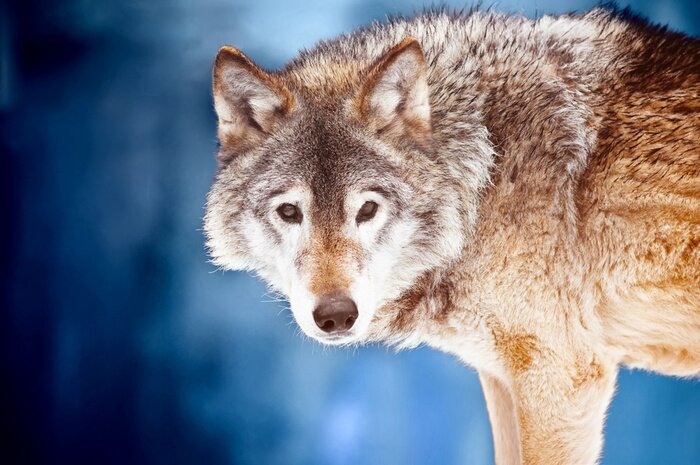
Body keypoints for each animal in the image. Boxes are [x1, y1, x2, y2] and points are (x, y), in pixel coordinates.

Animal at [204, 6, 700, 465]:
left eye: (367, 209)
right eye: (290, 212)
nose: (336, 315)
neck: (484, 174)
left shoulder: (562, 378)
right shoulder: (502, 378)